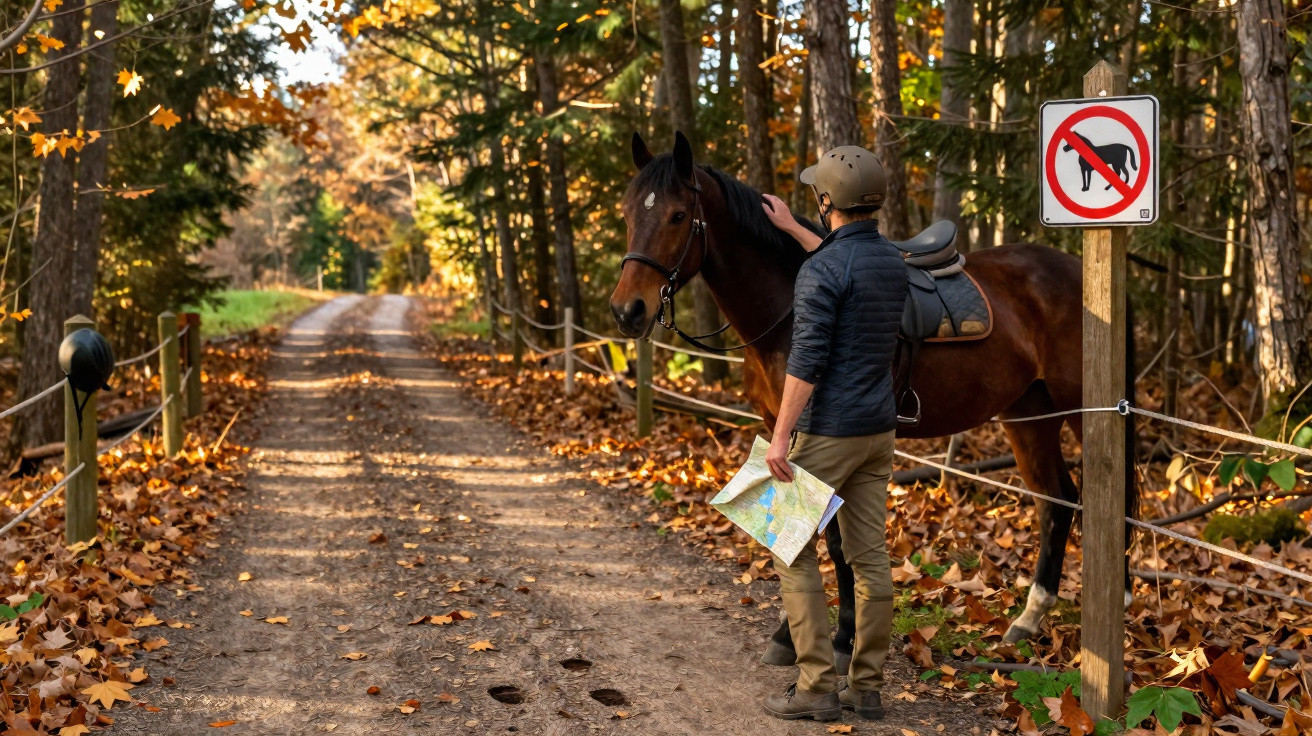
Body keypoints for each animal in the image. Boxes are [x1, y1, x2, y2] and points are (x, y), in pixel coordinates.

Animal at [609, 132, 1136, 668]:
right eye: (627, 213)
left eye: (678, 215)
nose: (628, 311)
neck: (788, 305)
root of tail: (1080, 273)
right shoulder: (781, 427)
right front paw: (792, 635)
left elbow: (836, 541)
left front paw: (842, 639)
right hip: (1029, 412)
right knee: (1057, 501)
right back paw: (1029, 618)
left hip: (1080, 410)